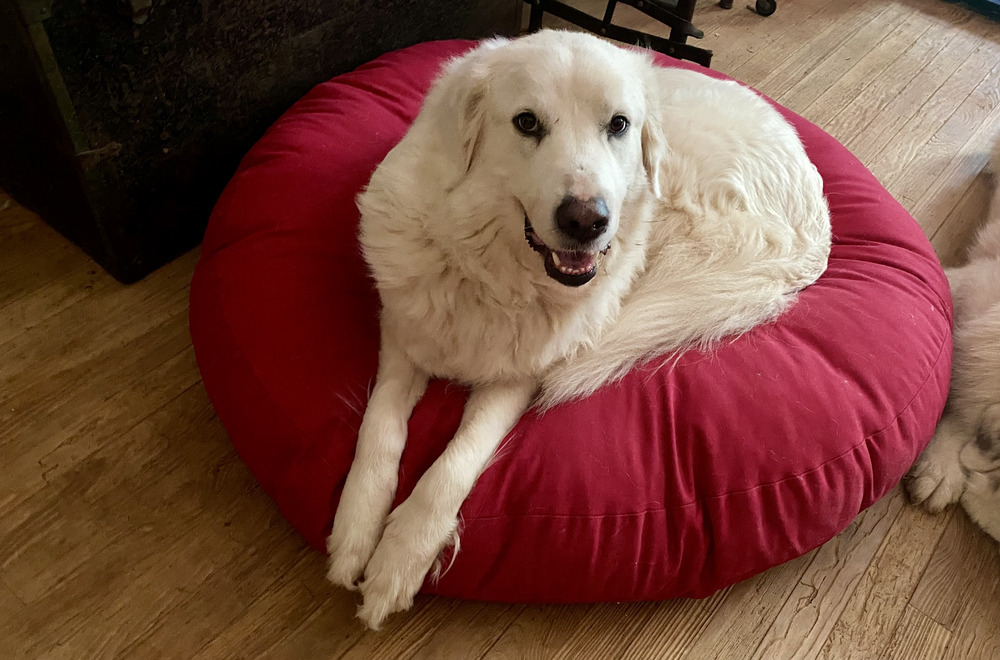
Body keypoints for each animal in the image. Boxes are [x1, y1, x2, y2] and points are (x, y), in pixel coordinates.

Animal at [324, 31, 832, 628]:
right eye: (526, 123)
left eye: (619, 124)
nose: (587, 222)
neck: (491, 269)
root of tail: (819, 222)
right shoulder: (405, 331)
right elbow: (380, 430)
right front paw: (354, 532)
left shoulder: (517, 377)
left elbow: (453, 466)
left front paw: (398, 560)